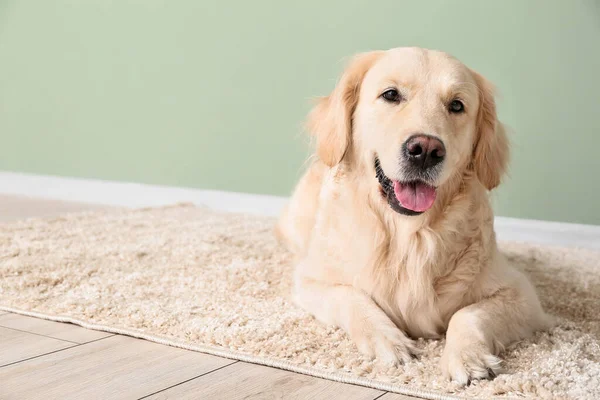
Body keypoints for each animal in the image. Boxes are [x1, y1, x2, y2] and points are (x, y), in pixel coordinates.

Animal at [274, 47, 552, 384]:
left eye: (456, 105)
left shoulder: (521, 293)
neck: (410, 235)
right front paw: (388, 341)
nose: (426, 150)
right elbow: (352, 298)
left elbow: (469, 314)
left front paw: (467, 357)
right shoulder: (311, 279)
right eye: (391, 94)